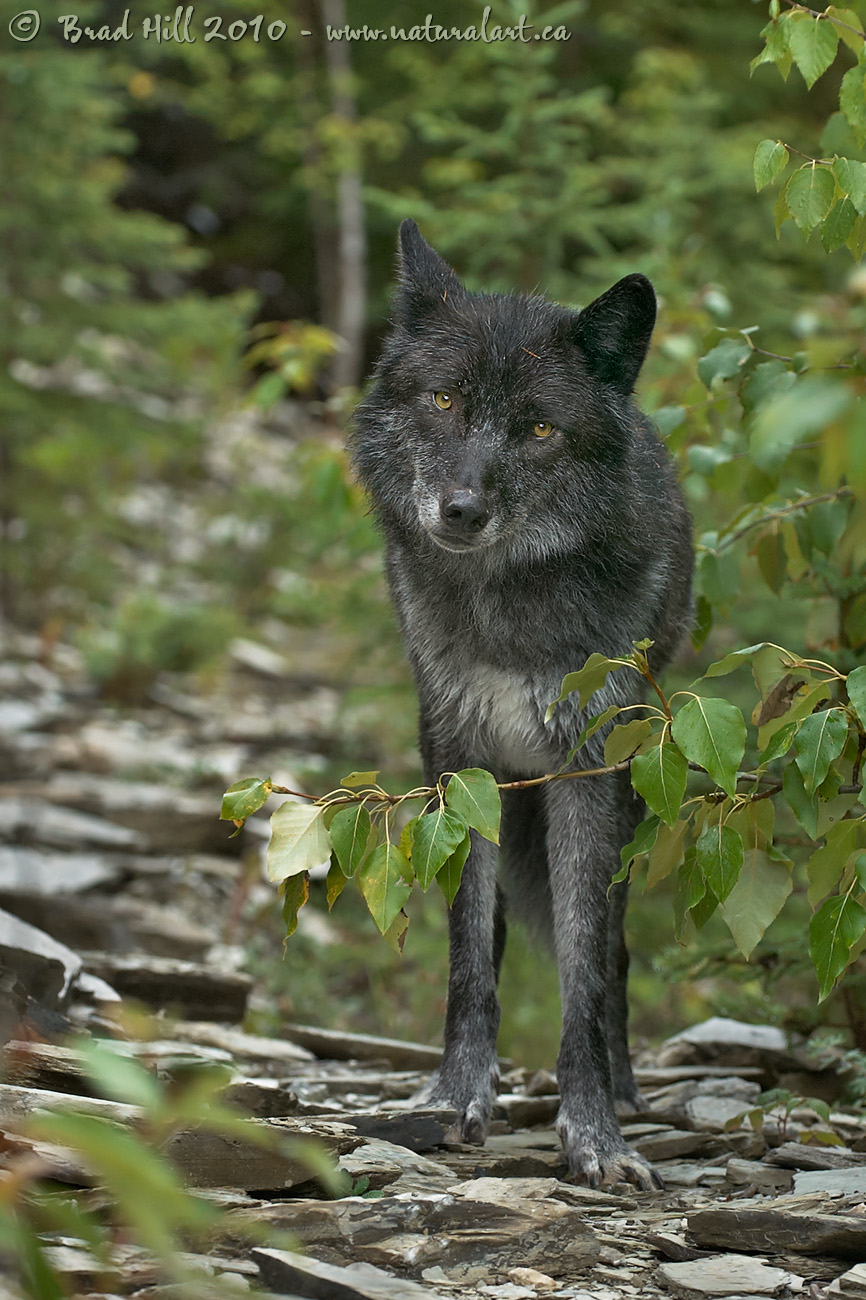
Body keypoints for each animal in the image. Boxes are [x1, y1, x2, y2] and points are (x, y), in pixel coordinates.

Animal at [348, 223, 691, 1190]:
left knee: (613, 949)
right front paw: (454, 1098)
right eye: (443, 400)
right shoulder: (460, 761)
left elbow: (583, 973)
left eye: (540, 428)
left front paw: (596, 1133)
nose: (460, 510)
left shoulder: (587, 771)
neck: (505, 609)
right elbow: (470, 956)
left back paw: (626, 1090)